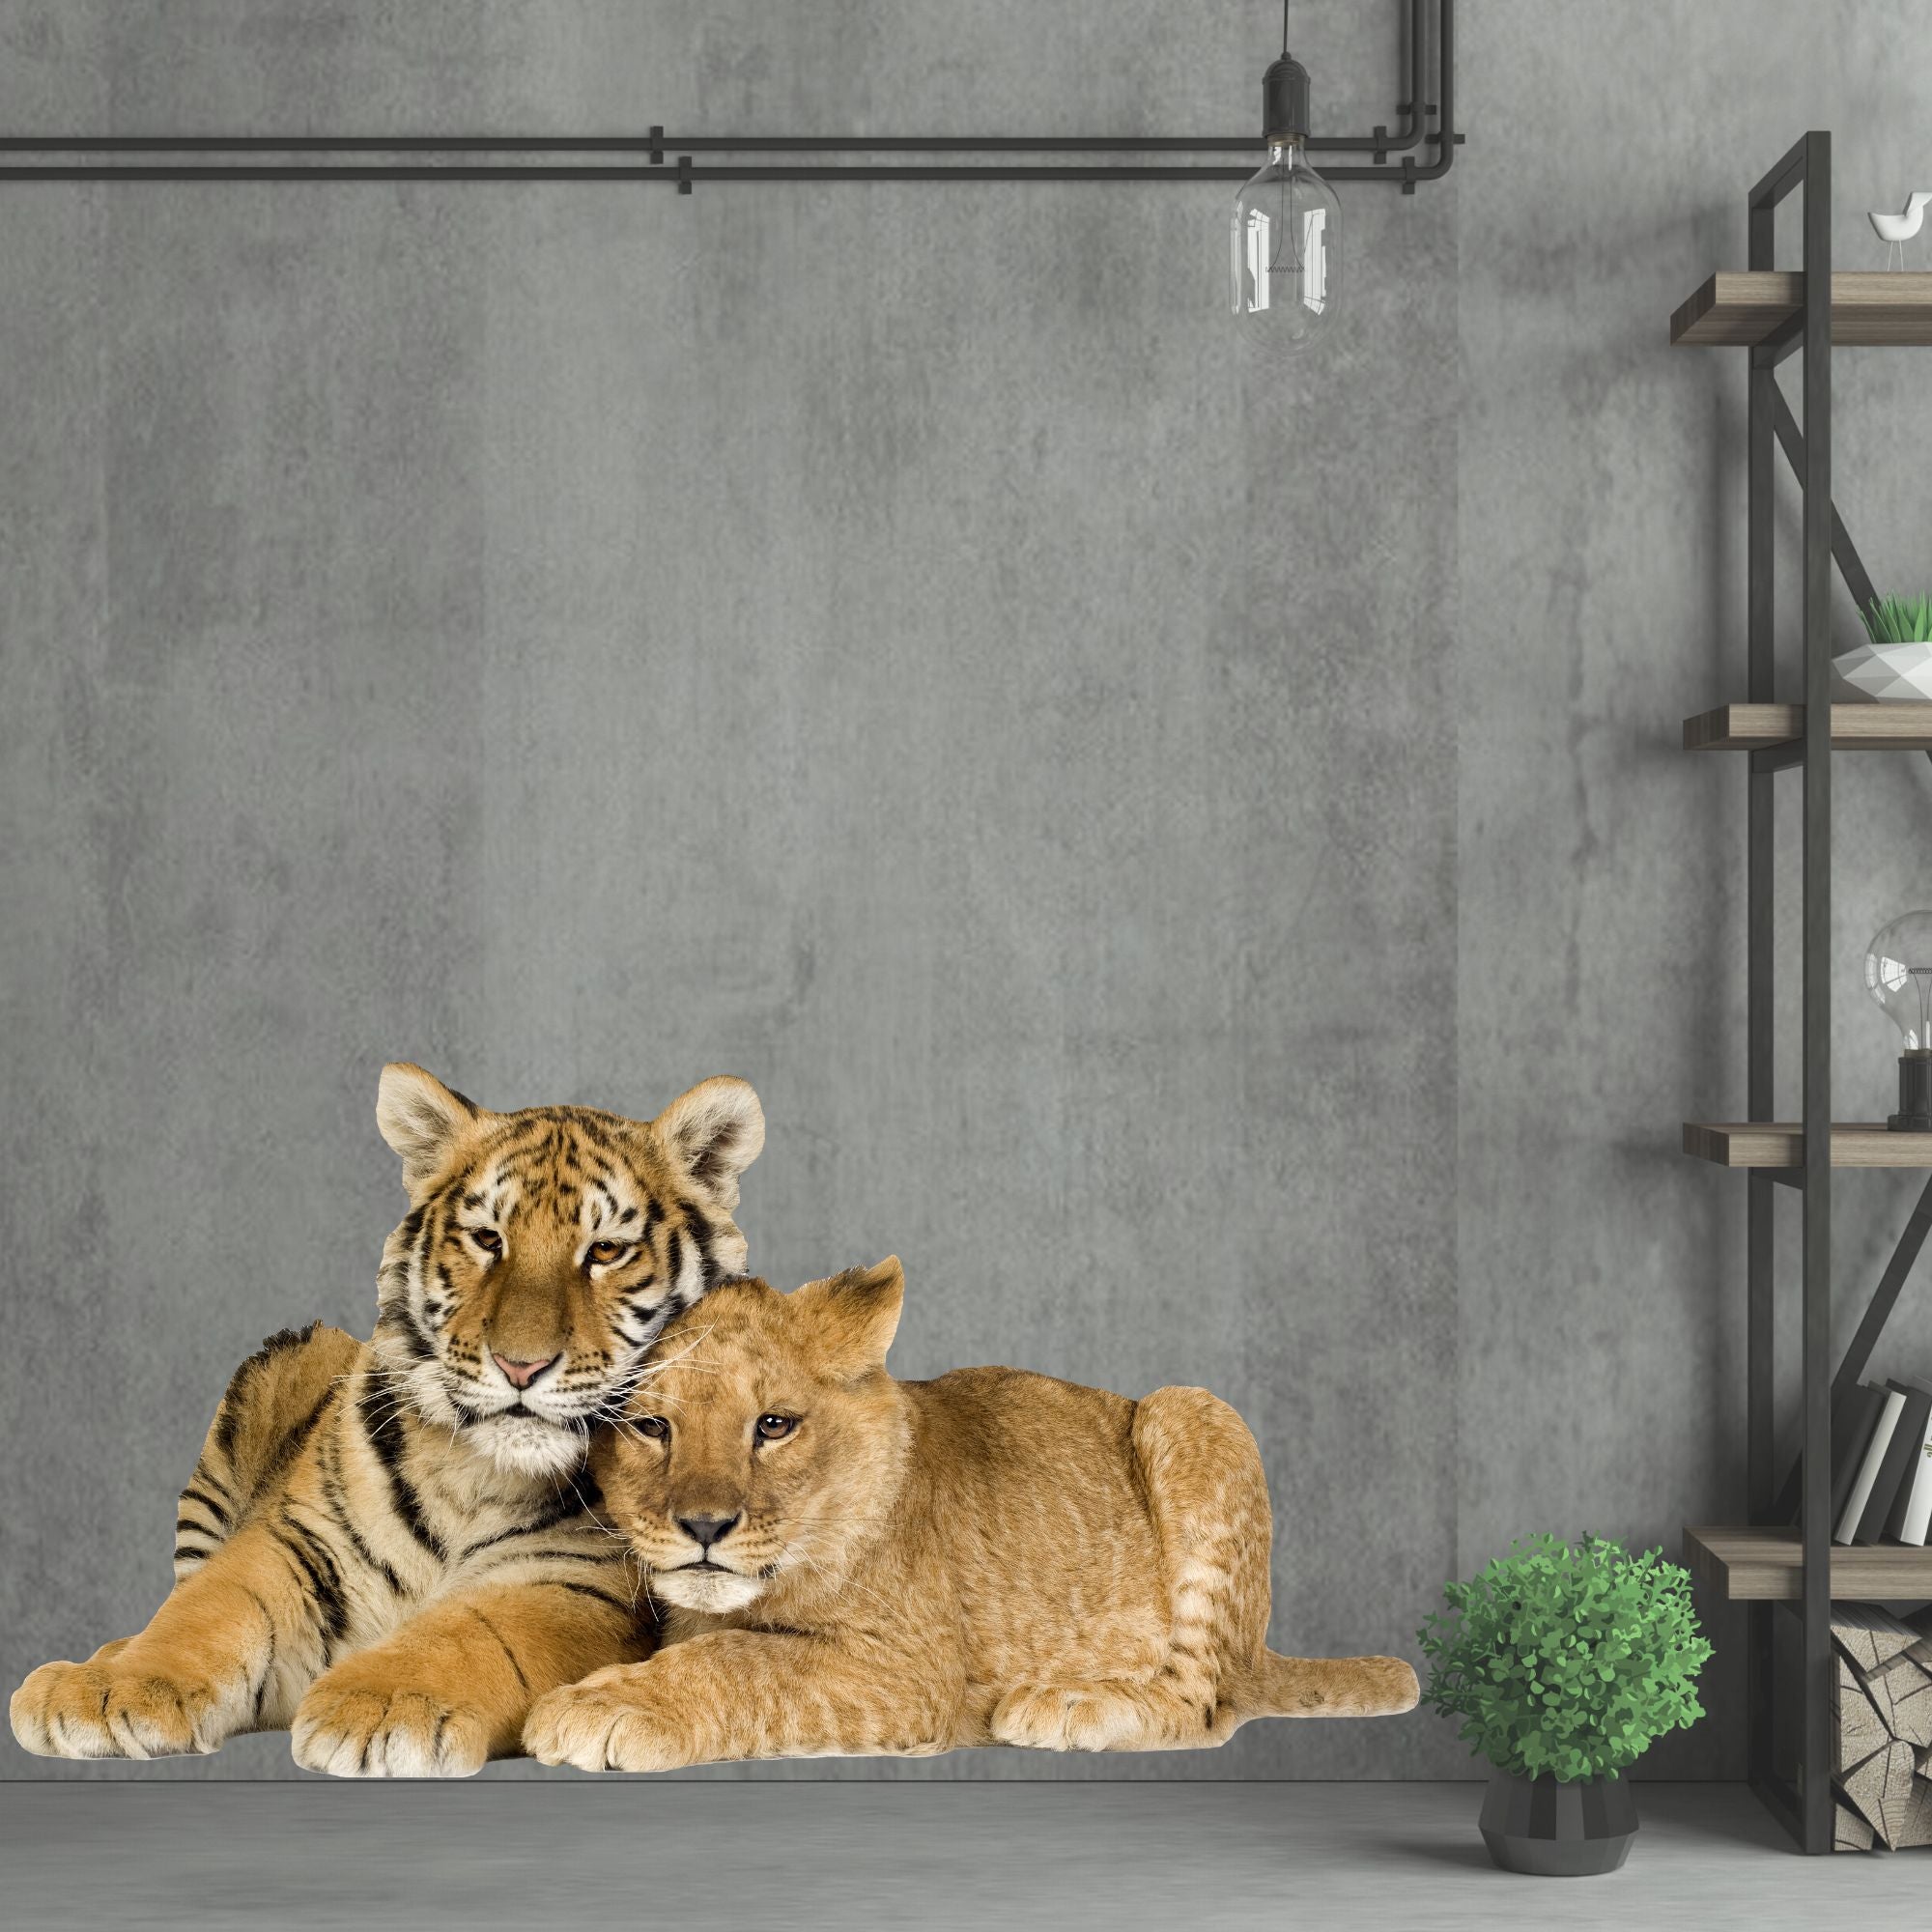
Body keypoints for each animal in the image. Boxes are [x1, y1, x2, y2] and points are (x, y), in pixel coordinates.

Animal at [9, 1061, 763, 1776]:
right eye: (487, 1239)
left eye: (606, 1250)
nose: (520, 1367)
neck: (474, 1470)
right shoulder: (295, 1540)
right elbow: (206, 1608)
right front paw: (108, 1691)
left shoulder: (574, 1585)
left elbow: (472, 1631)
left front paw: (383, 1706)